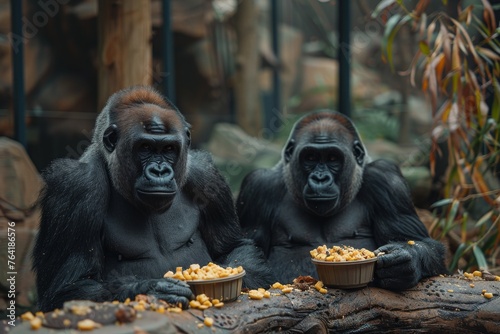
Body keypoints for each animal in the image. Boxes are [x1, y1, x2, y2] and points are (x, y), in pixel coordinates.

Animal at [33, 85, 272, 310]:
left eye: (169, 148)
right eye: (145, 147)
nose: (159, 171)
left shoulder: (207, 175)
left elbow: (233, 247)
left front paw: (240, 278)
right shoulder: (75, 186)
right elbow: (68, 288)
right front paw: (153, 289)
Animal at [236, 110, 448, 290]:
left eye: (332, 158)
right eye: (310, 157)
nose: (320, 179)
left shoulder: (388, 181)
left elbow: (417, 241)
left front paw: (406, 262)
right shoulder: (257, 186)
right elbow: (247, 248)